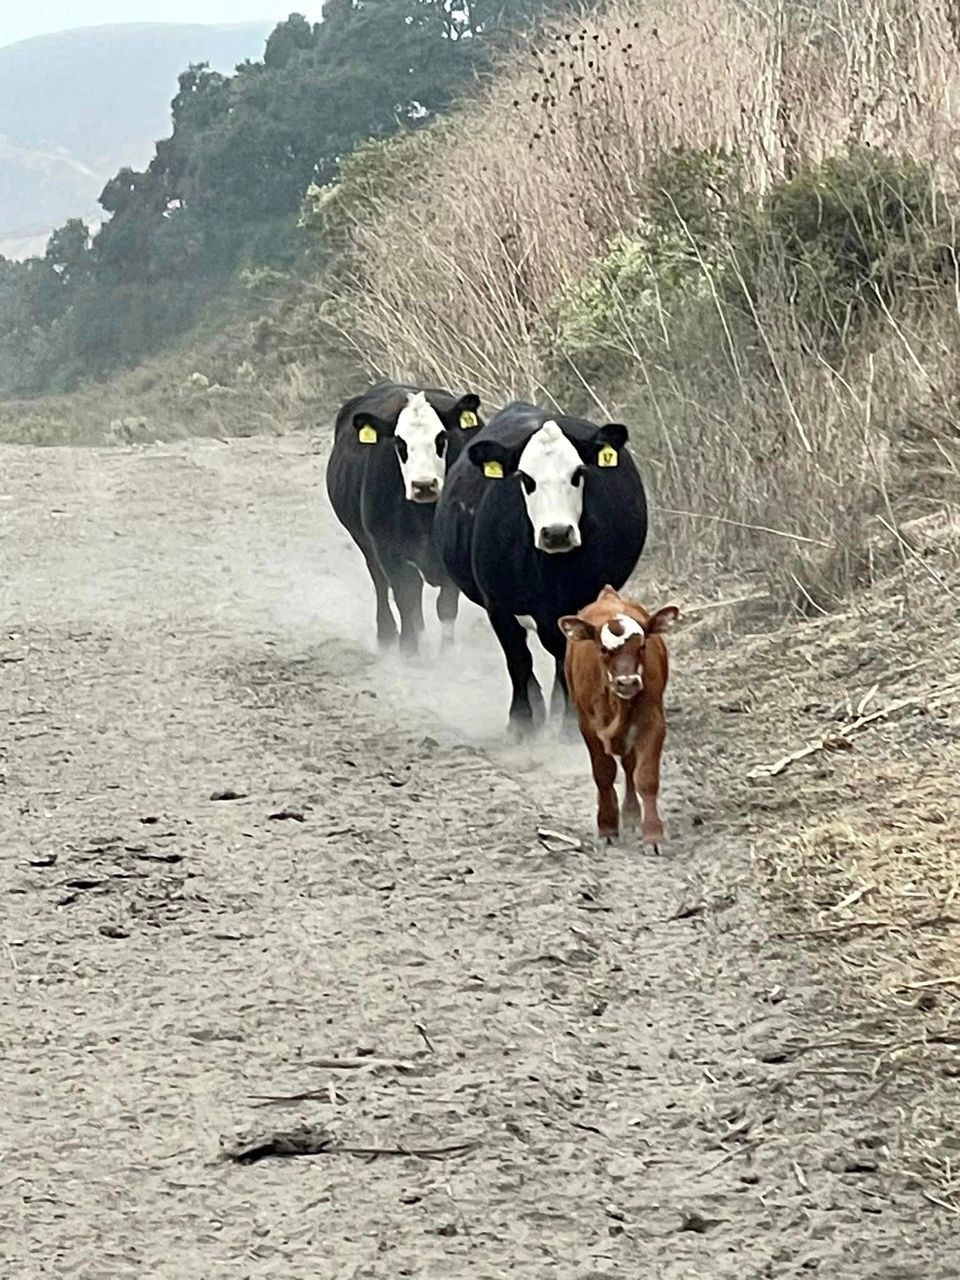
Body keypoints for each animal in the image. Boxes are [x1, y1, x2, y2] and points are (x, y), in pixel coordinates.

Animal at [327, 376, 483, 655]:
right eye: (400, 443)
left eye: (442, 438)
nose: (424, 485)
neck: (425, 514)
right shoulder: (389, 549)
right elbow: (406, 597)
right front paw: (409, 652)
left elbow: (446, 605)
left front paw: (447, 651)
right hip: (365, 542)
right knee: (381, 582)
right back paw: (387, 634)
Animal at [435, 404, 647, 737]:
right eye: (526, 478)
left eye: (578, 473)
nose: (557, 532)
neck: (550, 574)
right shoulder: (498, 606)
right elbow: (518, 660)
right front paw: (522, 721)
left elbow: (567, 659)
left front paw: (570, 722)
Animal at [560, 586, 680, 849]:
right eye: (604, 650)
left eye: (642, 646)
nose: (627, 682)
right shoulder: (588, 726)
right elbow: (603, 774)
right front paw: (607, 826)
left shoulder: (653, 722)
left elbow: (646, 777)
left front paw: (653, 835)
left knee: (629, 765)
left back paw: (631, 813)